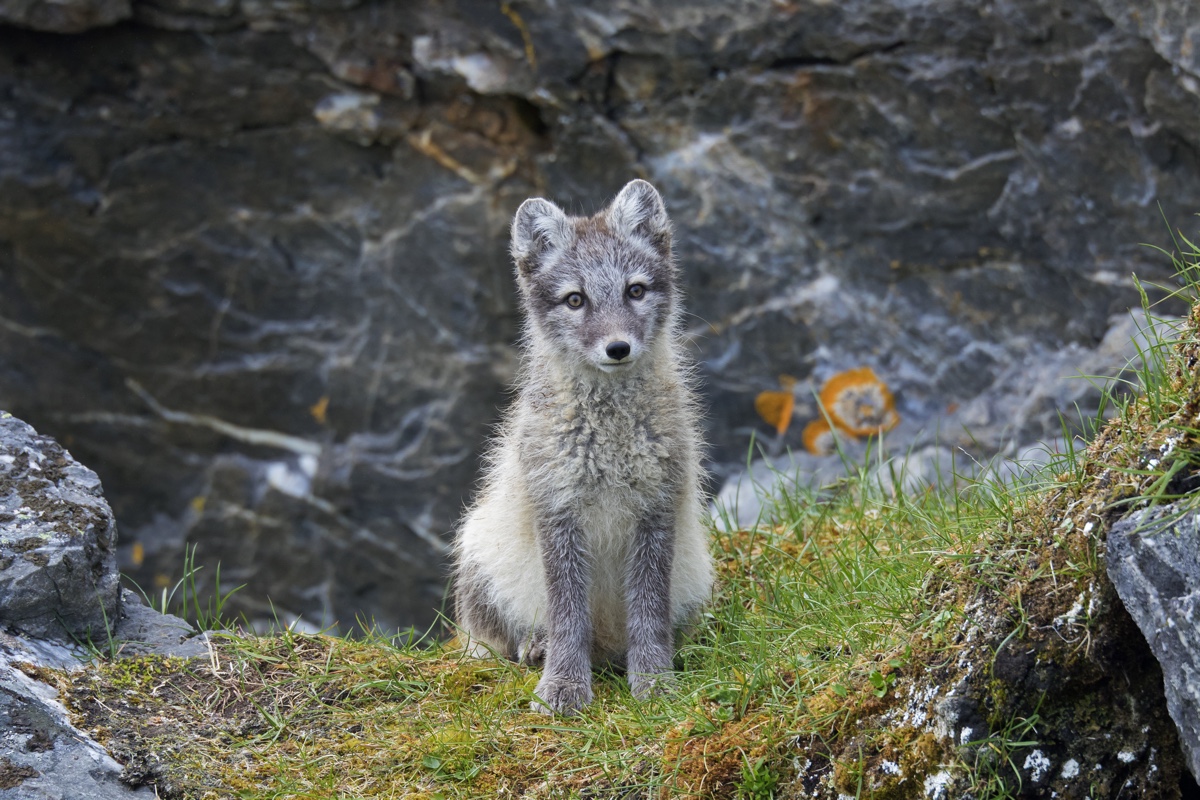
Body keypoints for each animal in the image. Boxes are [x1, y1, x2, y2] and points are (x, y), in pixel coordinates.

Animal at [451, 178, 710, 714]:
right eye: (575, 300)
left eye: (635, 290)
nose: (618, 348)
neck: (609, 442)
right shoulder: (557, 509)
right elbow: (568, 613)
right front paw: (564, 687)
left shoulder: (657, 508)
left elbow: (648, 612)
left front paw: (654, 682)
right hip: (478, 552)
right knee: (501, 640)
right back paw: (536, 647)